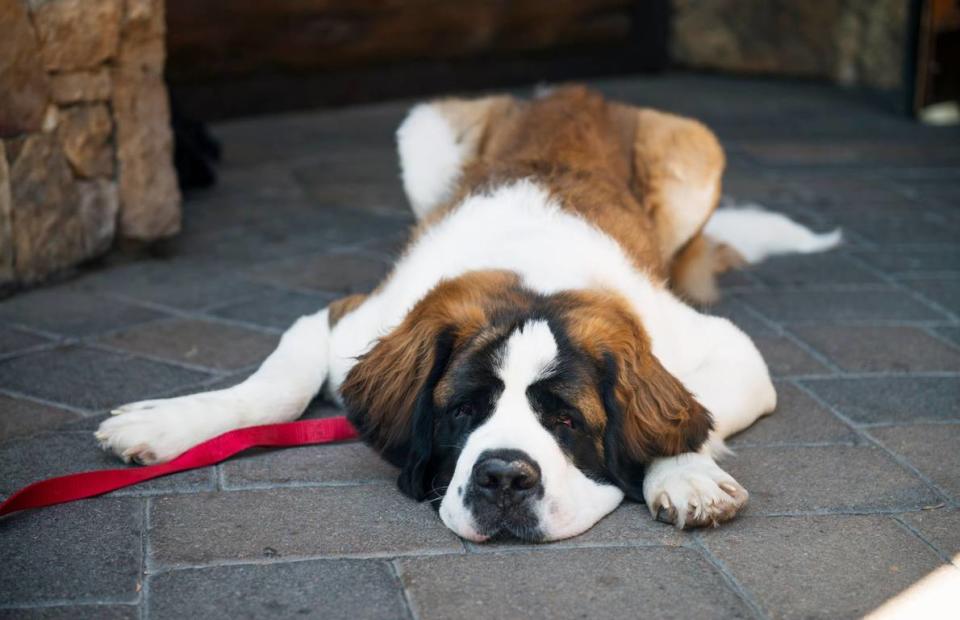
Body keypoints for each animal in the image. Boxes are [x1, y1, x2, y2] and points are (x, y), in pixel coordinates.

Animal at [94, 87, 836, 544]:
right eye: (463, 411)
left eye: (567, 422)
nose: (504, 476)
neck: (535, 275)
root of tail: (577, 91)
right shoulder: (349, 322)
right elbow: (273, 390)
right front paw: (166, 423)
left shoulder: (728, 350)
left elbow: (694, 414)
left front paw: (684, 475)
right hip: (424, 131)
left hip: (695, 155)